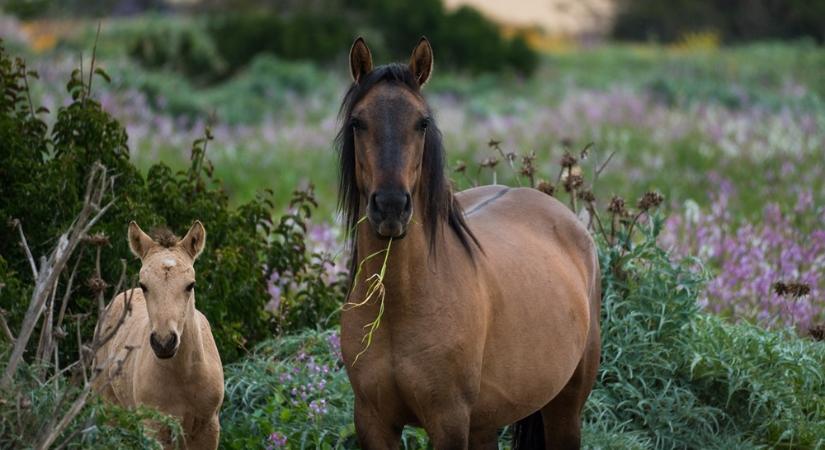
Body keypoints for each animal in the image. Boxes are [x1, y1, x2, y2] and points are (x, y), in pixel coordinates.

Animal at [93, 222, 224, 450]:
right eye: (144, 285)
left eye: (190, 285)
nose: (164, 343)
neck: (184, 376)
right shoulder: (155, 427)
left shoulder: (208, 428)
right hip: (109, 410)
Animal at [334, 37, 600, 448]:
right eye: (358, 122)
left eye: (422, 123)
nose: (391, 206)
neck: (399, 306)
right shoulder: (372, 421)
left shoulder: (449, 421)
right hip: (485, 422)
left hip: (565, 409)